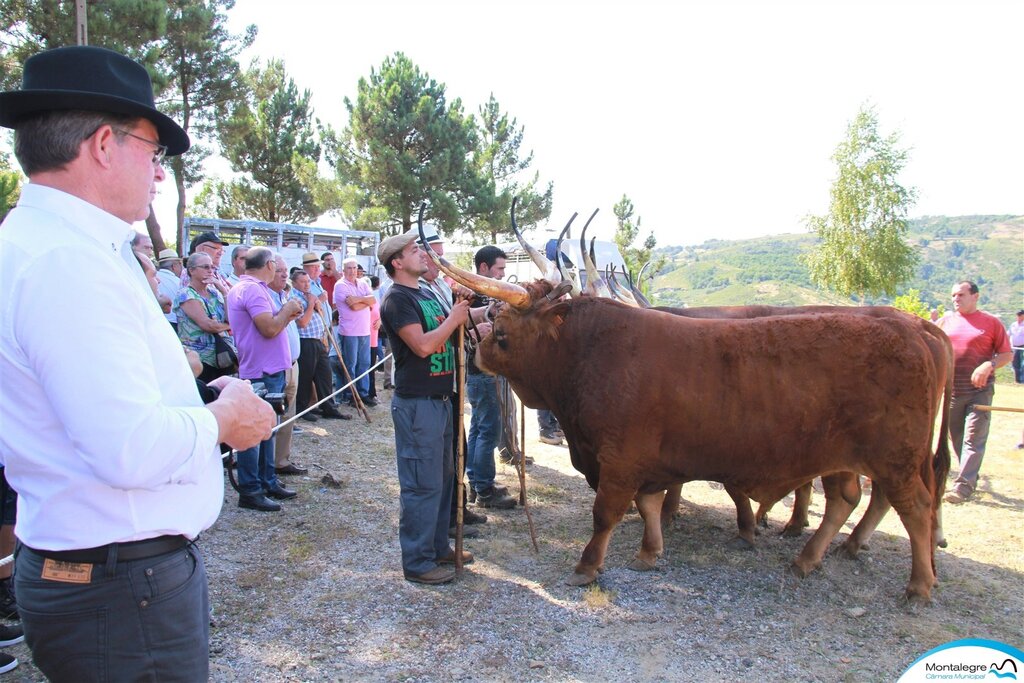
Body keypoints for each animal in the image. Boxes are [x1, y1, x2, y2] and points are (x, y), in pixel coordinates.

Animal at [436, 255, 946, 602]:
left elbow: (606, 513)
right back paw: (807, 558)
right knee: (845, 500)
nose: (477, 352)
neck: (585, 353)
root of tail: (913, 331)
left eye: (501, 326)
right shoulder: (641, 462)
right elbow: (648, 505)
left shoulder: (617, 459)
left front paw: (587, 566)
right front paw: (649, 553)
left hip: (895, 460)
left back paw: (919, 585)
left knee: (915, 508)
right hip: (841, 457)